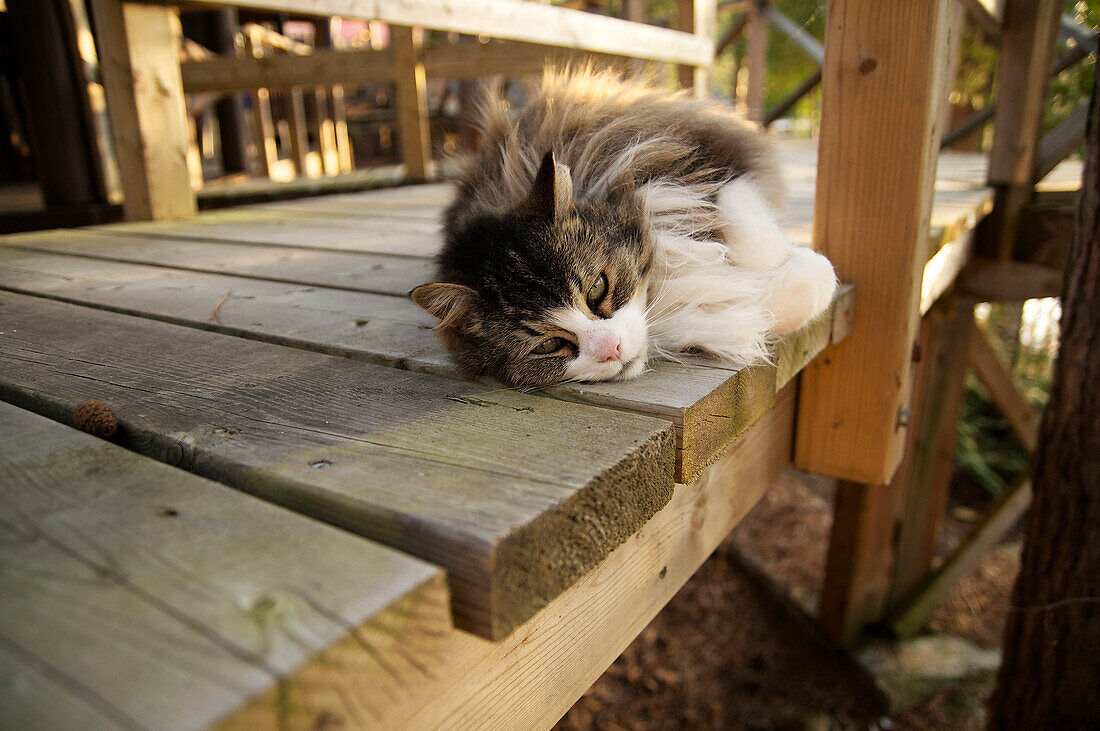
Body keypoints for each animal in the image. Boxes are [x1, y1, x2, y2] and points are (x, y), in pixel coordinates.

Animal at [411, 68, 831, 386]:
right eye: (548, 346)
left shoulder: (703, 160)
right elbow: (785, 297)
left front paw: (794, 258)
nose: (610, 349)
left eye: (598, 288)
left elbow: (747, 224)